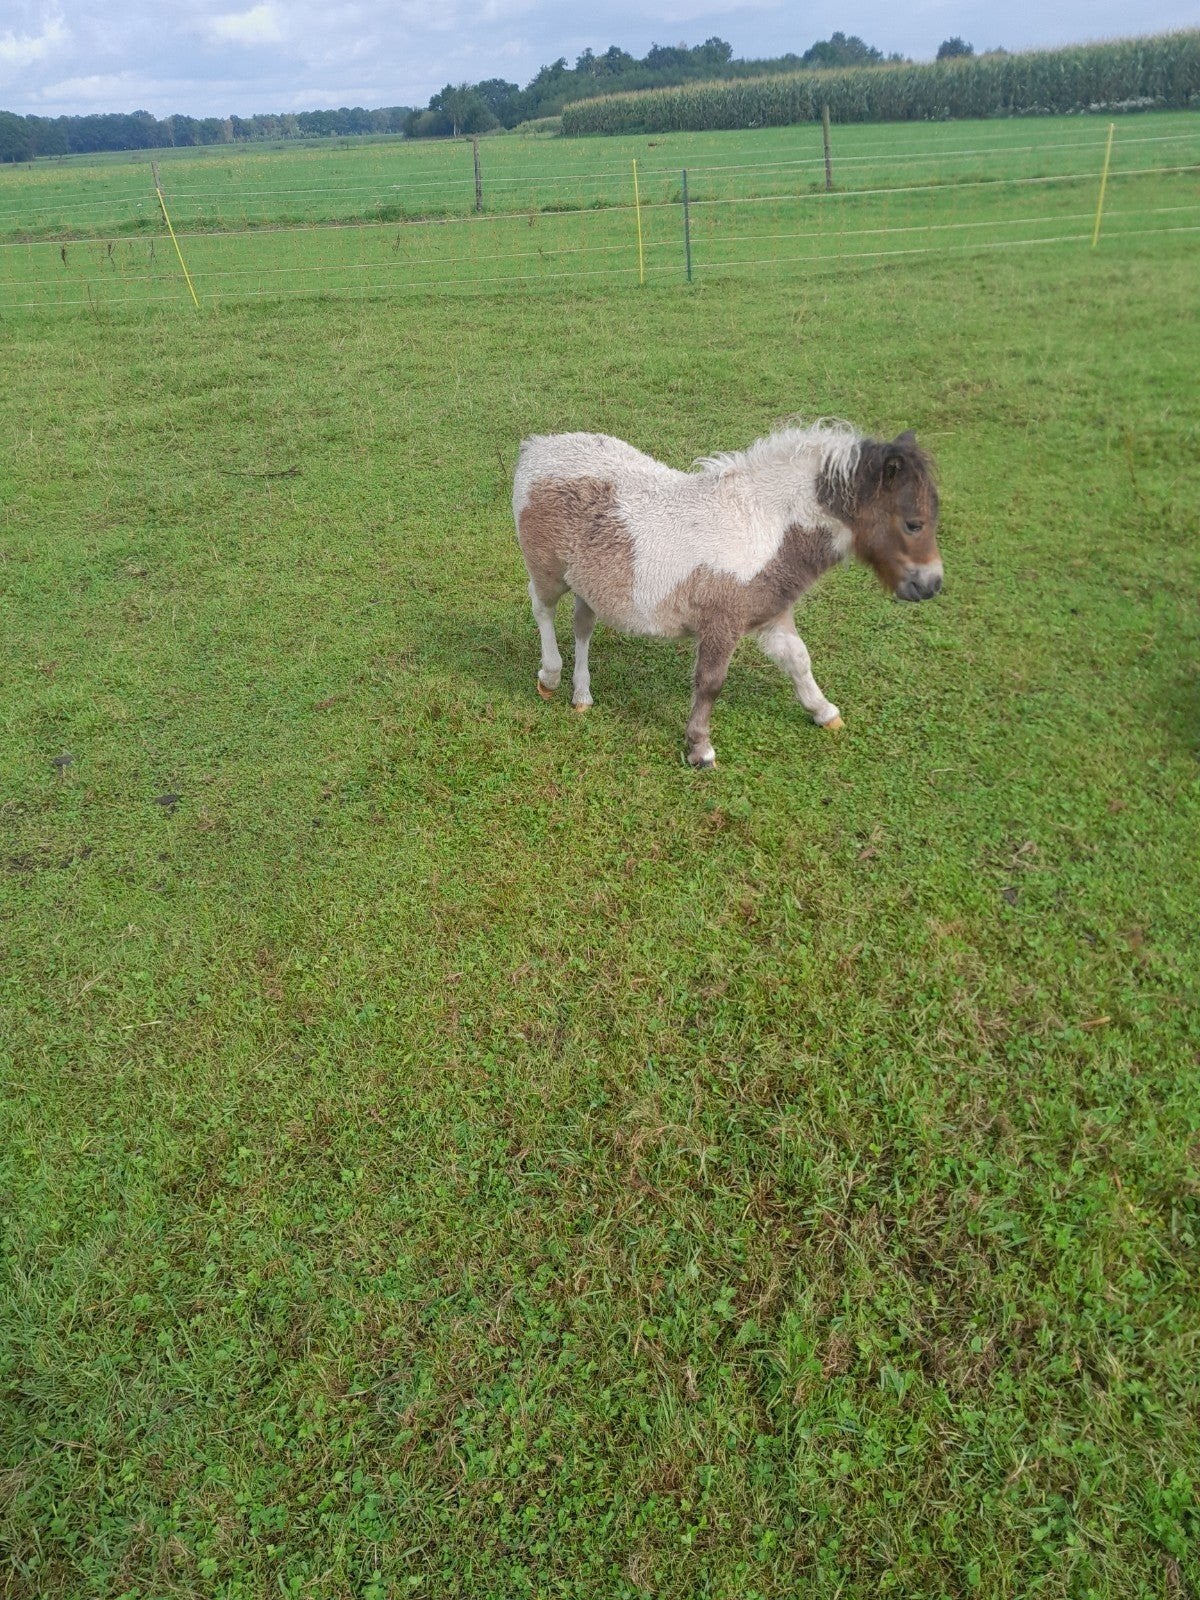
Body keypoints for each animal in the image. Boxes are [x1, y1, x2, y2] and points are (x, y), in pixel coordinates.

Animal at [513, 420, 941, 767]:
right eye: (914, 524)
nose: (931, 585)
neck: (765, 527)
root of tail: (536, 447)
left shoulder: (771, 614)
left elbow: (798, 660)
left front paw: (824, 712)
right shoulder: (722, 623)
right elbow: (710, 683)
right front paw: (699, 750)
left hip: (589, 583)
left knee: (582, 625)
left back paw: (582, 695)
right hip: (548, 571)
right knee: (542, 609)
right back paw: (550, 676)